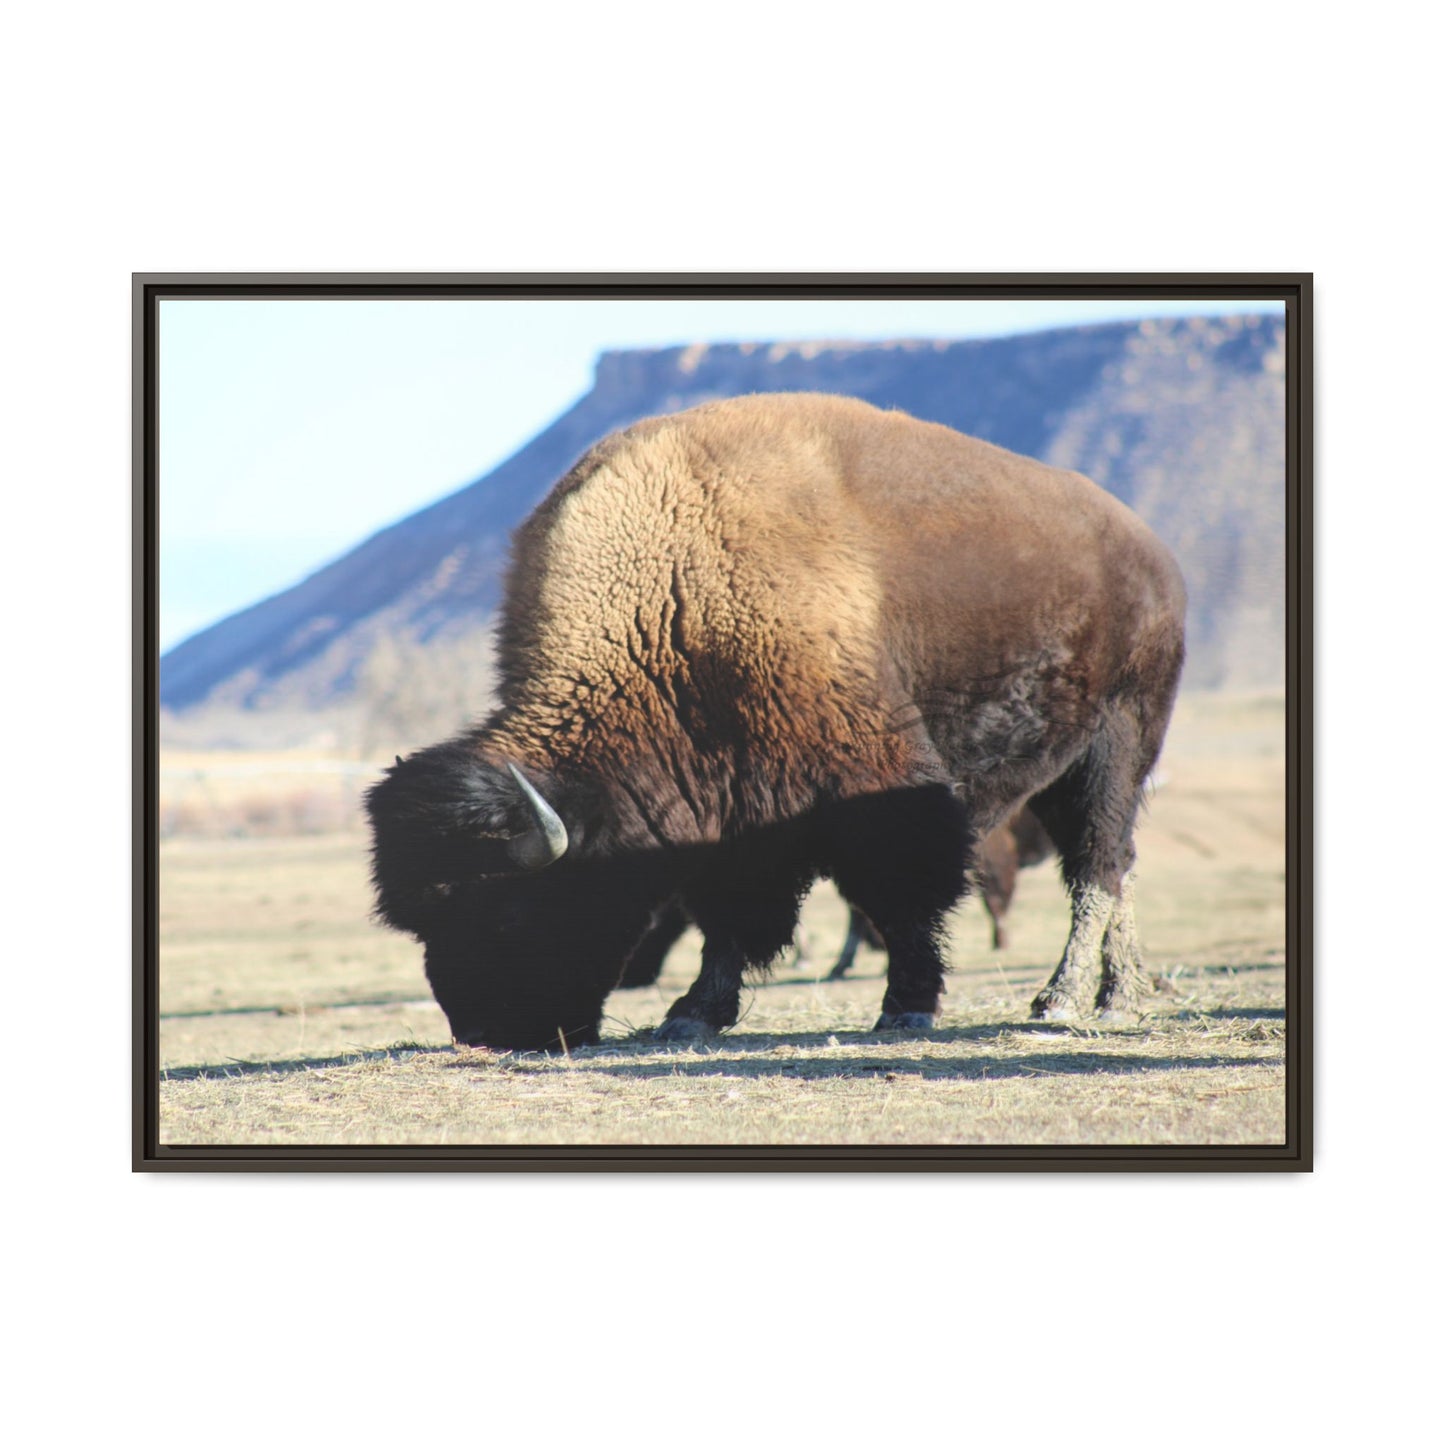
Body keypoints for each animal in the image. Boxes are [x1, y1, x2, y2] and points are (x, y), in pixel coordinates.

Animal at [366, 393, 1186, 1051]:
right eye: (423, 923)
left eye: (505, 911)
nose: (485, 1031)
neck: (673, 600)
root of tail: (1150, 552)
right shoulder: (728, 810)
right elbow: (728, 916)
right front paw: (691, 1014)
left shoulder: (877, 785)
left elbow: (903, 895)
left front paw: (906, 1007)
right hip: (1063, 768)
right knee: (1113, 865)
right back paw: (1119, 992)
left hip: (1118, 743)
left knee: (1098, 864)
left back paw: (1067, 1000)